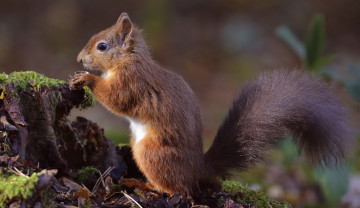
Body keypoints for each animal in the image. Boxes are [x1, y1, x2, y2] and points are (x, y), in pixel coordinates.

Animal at [69, 12, 352, 197]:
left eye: (102, 46)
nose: (79, 58)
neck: (127, 60)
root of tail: (199, 168)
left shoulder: (132, 82)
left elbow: (117, 100)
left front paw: (86, 79)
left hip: (152, 153)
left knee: (179, 189)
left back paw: (145, 186)